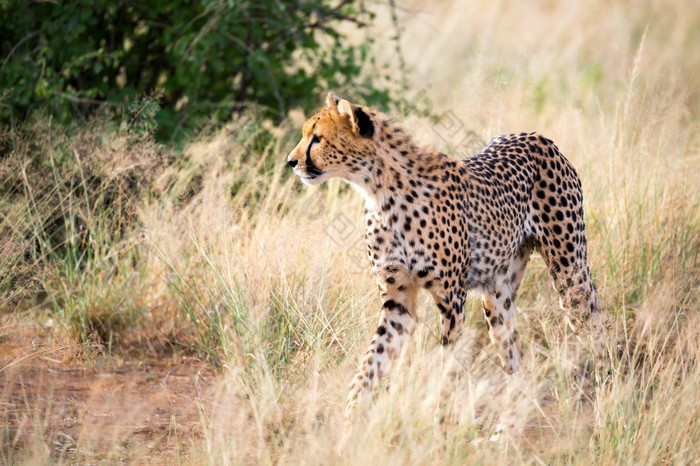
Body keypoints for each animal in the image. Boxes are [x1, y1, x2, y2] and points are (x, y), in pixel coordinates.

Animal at [286, 93, 600, 422]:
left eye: (317, 138)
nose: (291, 162)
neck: (379, 192)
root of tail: (536, 136)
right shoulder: (398, 301)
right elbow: (371, 362)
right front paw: (351, 416)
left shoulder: (451, 299)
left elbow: (447, 365)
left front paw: (438, 418)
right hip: (498, 297)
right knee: (514, 358)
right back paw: (508, 422)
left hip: (570, 272)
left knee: (593, 323)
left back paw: (605, 388)